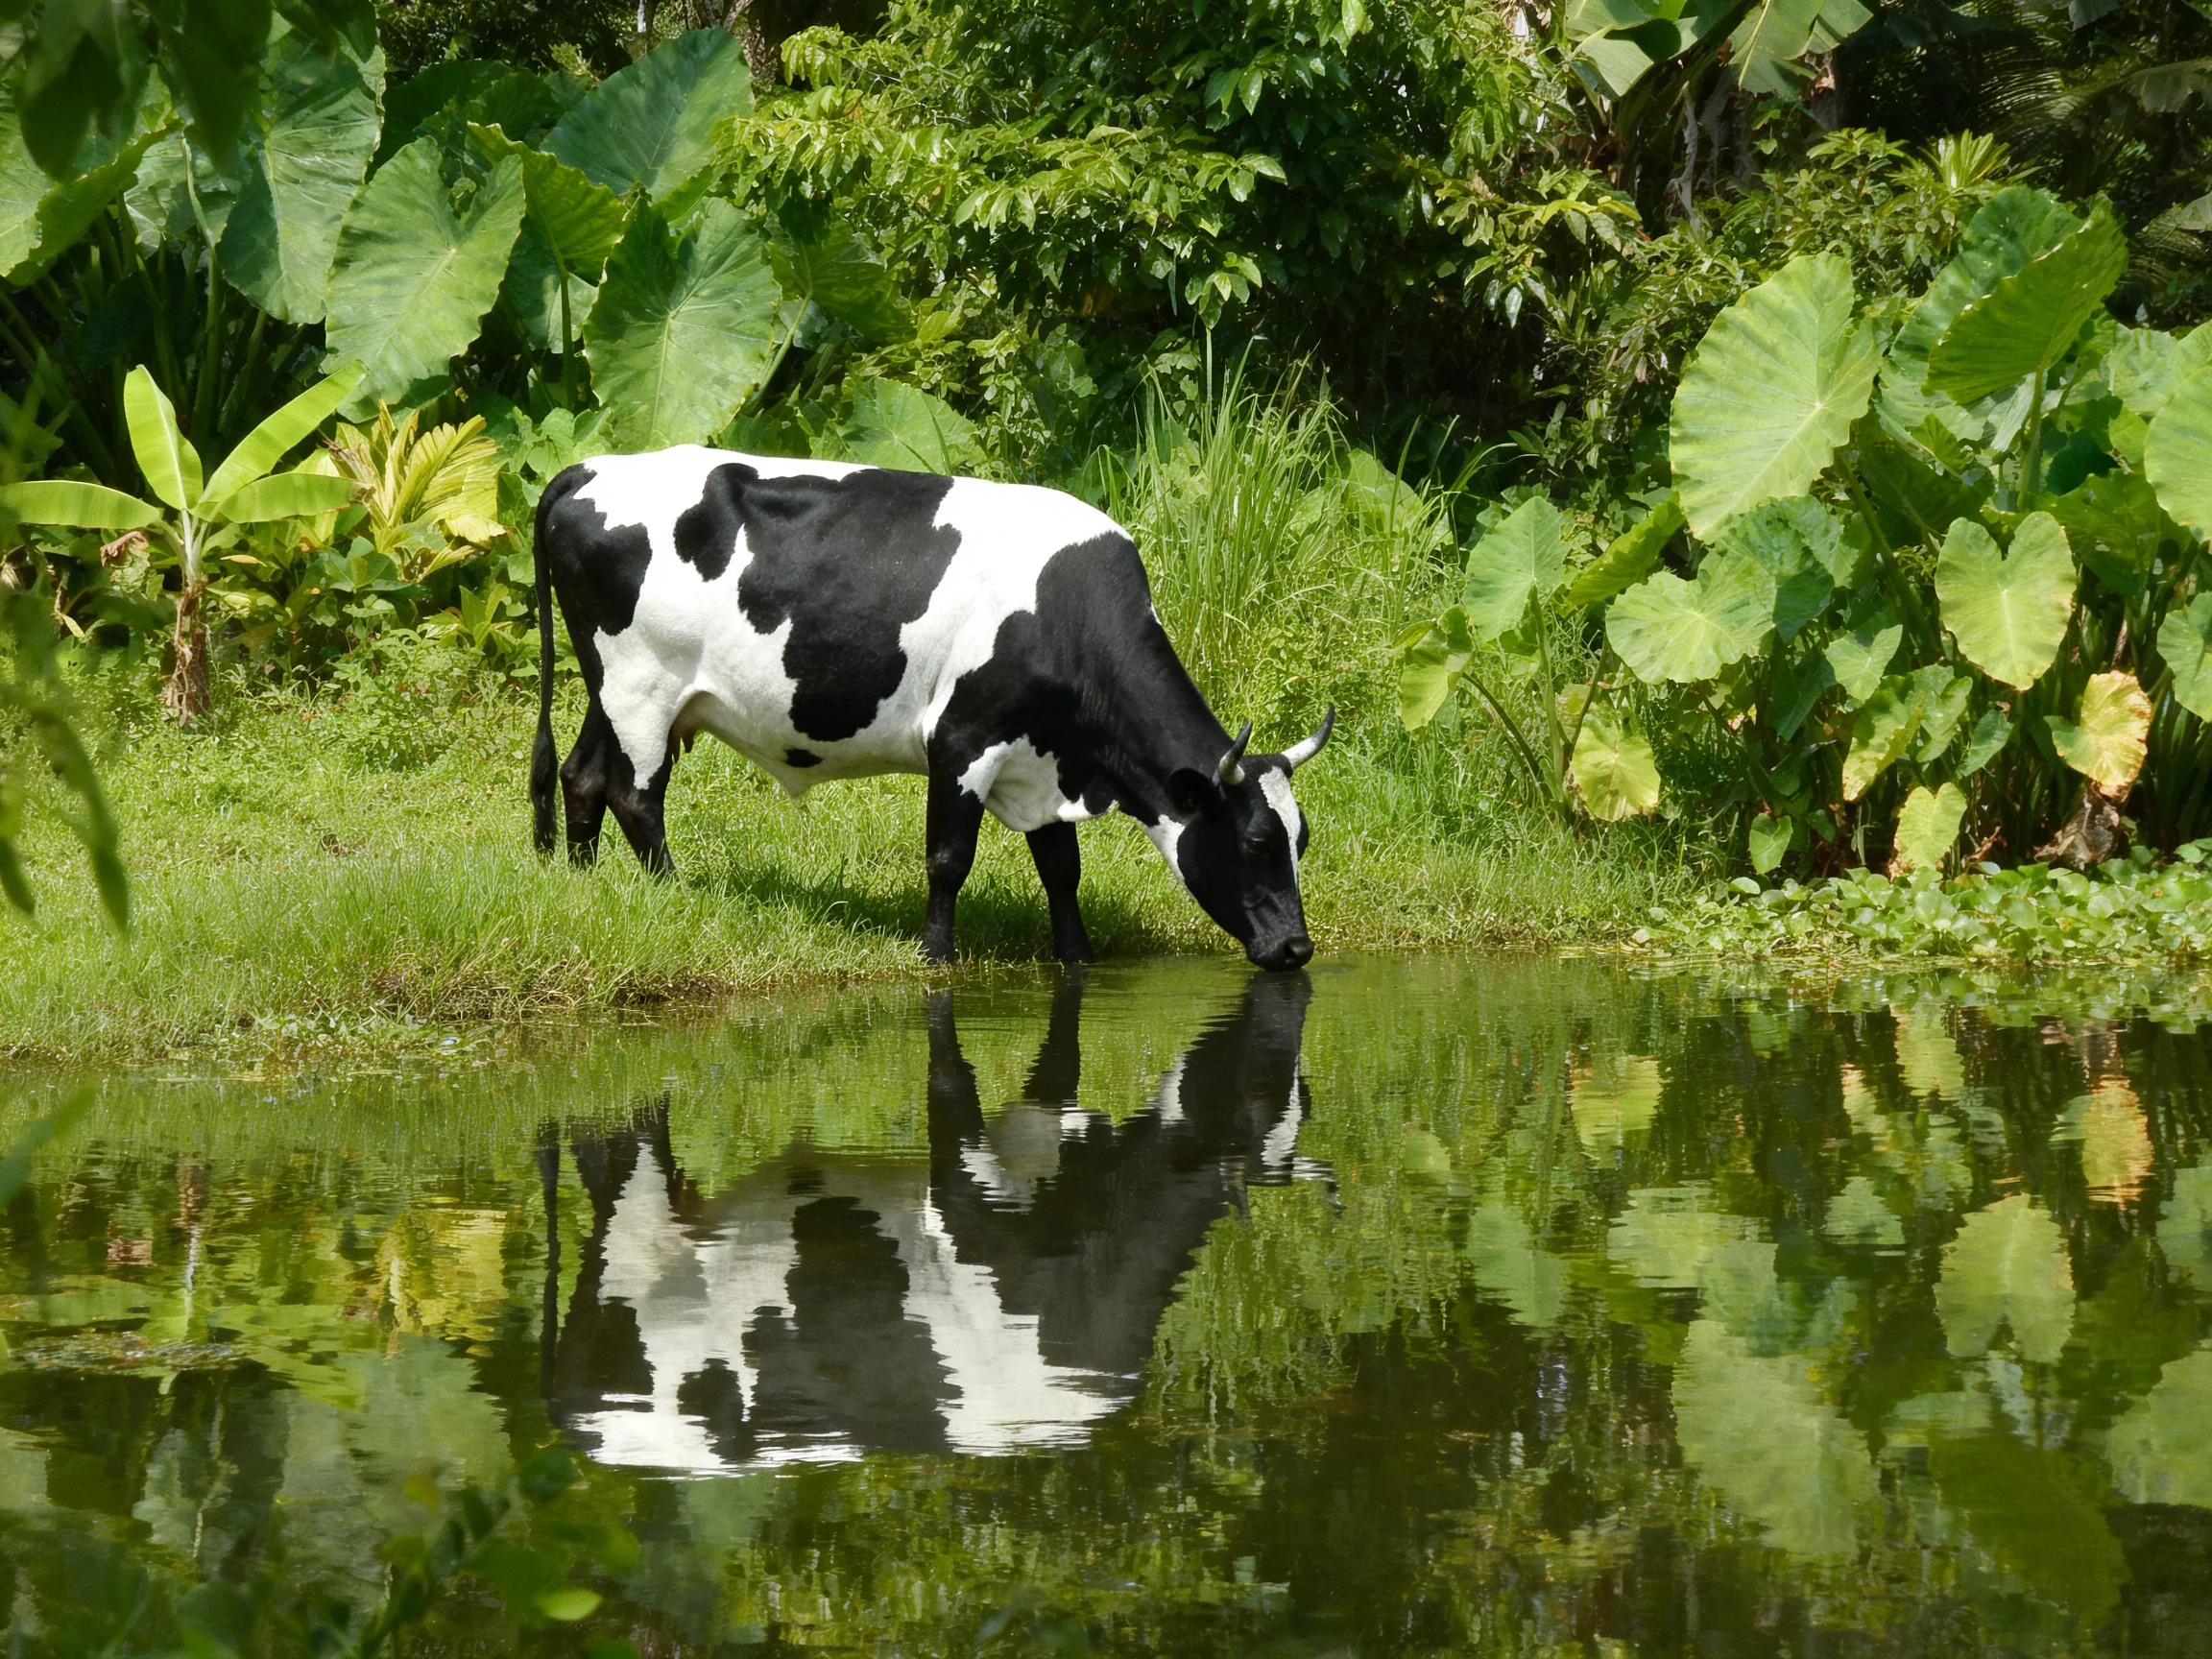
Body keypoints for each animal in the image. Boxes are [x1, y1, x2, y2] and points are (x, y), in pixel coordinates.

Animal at [527, 448, 1331, 971]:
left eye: (1303, 838)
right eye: (1258, 840)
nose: (1297, 948)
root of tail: (591, 467)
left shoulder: (1043, 758)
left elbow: (1061, 869)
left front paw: (1076, 957)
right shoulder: (962, 740)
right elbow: (948, 860)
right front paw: (936, 955)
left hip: (613, 687)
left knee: (583, 776)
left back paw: (584, 885)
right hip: (642, 684)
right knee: (636, 795)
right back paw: (674, 894)